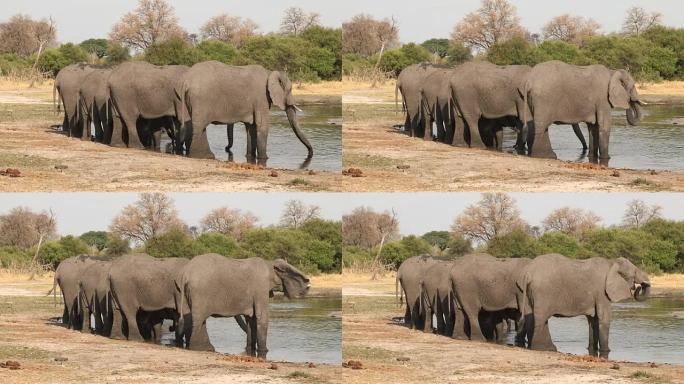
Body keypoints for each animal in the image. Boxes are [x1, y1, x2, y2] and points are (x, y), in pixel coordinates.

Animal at [174, 254, 310, 358]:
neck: (270, 263)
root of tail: (185, 273)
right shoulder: (260, 287)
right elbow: (261, 316)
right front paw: (264, 351)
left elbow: (251, 319)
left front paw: (250, 350)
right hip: (200, 292)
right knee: (198, 319)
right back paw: (198, 348)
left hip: (185, 292)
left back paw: (206, 348)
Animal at [178, 61, 314, 162]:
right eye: (290, 90)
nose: (311, 154)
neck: (270, 72)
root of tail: (186, 81)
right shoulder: (261, 97)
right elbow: (262, 126)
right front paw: (264, 158)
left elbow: (251, 127)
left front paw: (250, 157)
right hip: (201, 99)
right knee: (200, 127)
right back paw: (204, 157)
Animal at [516, 254, 648, 358]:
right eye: (635, 272)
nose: (639, 287)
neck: (611, 262)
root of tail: (528, 273)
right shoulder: (601, 292)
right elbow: (603, 318)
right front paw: (606, 351)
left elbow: (593, 320)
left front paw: (592, 349)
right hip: (543, 292)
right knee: (541, 318)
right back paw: (545, 348)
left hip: (526, 291)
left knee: (530, 316)